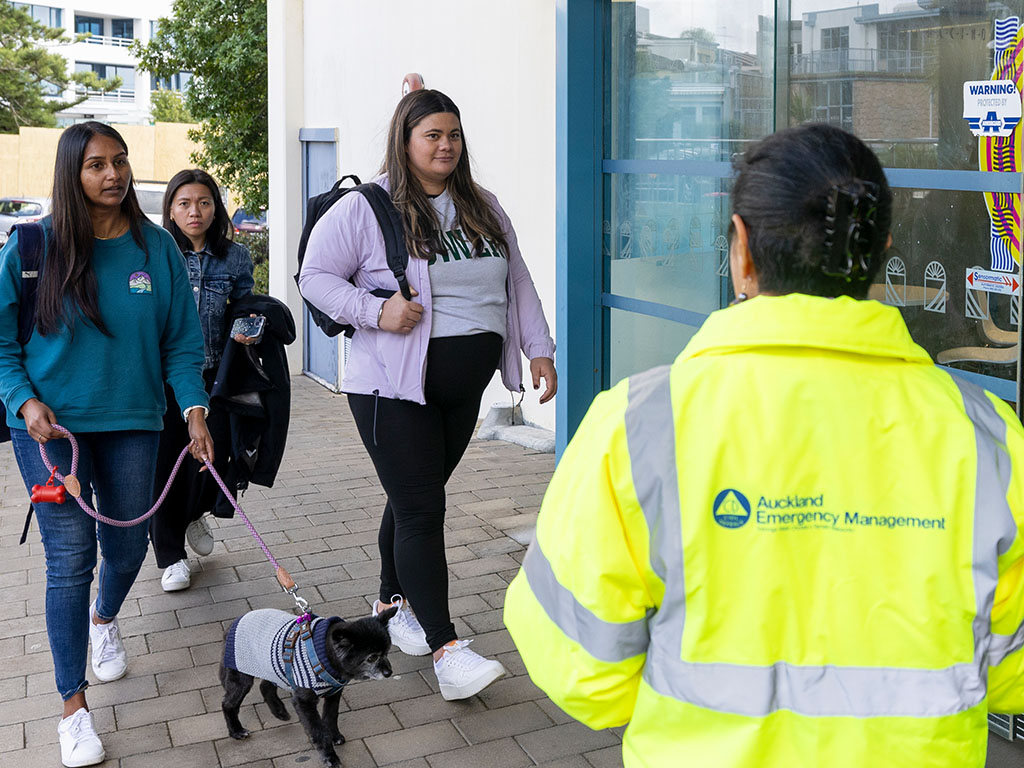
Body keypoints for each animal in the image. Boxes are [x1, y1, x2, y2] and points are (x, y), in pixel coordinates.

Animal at [218, 606, 397, 768]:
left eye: (387, 651)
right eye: (371, 658)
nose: (389, 672)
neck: (324, 654)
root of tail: (233, 623)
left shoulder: (334, 694)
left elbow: (331, 716)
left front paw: (334, 736)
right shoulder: (304, 702)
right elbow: (318, 731)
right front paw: (330, 757)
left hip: (271, 668)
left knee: (265, 685)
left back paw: (279, 711)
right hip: (242, 679)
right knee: (228, 703)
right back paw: (236, 731)